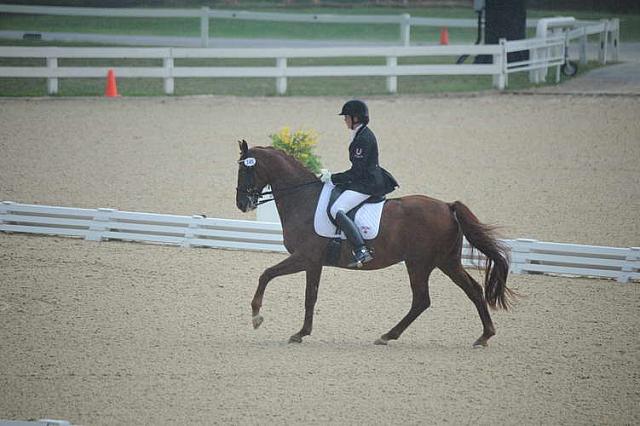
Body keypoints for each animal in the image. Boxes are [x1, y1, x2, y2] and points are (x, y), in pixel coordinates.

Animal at [236, 141, 516, 348]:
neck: (302, 198)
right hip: (446, 261)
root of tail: (448, 206)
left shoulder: (305, 257)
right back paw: (484, 336)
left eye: (245, 170)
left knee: (422, 300)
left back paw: (387, 336)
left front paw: (257, 316)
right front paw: (301, 332)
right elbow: (310, 296)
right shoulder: (313, 262)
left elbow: (267, 274)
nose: (241, 204)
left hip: (420, 263)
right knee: (473, 290)